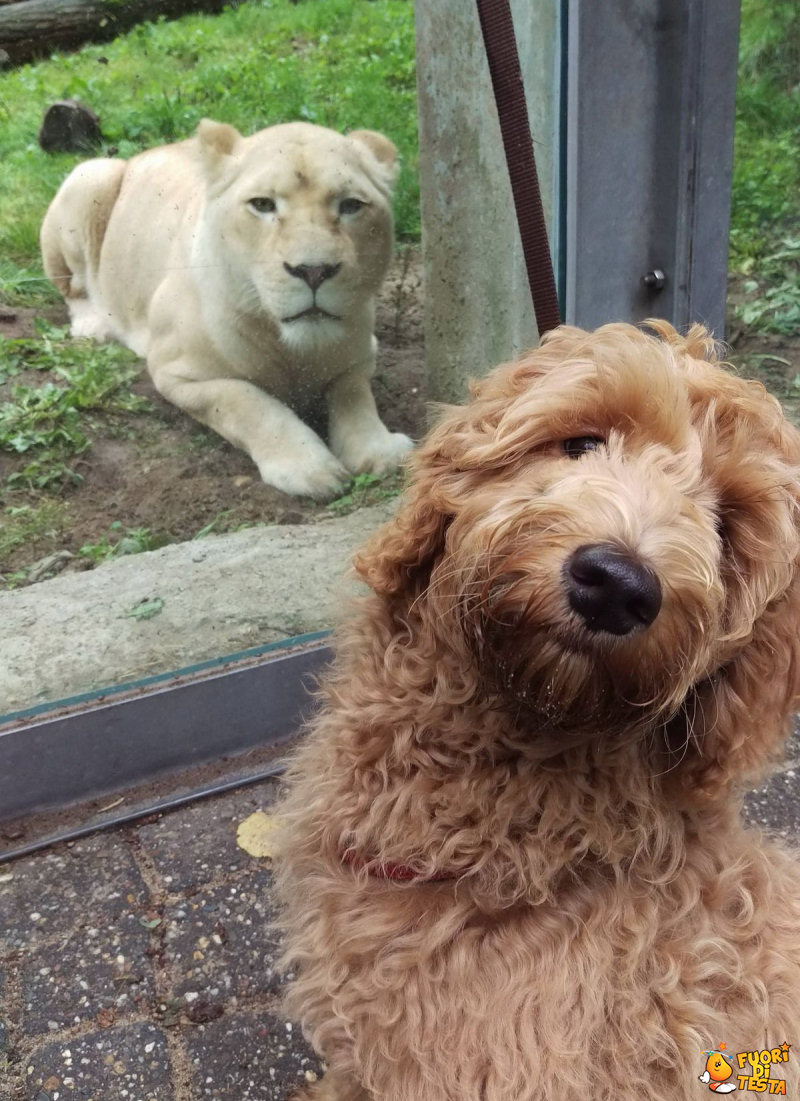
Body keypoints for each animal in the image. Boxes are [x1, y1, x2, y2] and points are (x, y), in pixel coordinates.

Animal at [40, 121, 413, 499]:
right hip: (90, 175)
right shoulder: (175, 372)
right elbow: (248, 402)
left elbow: (355, 398)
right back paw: (94, 325)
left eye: (351, 205)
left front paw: (379, 449)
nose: (314, 271)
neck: (292, 349)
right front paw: (308, 467)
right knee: (72, 287)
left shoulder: (361, 356)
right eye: (262, 204)